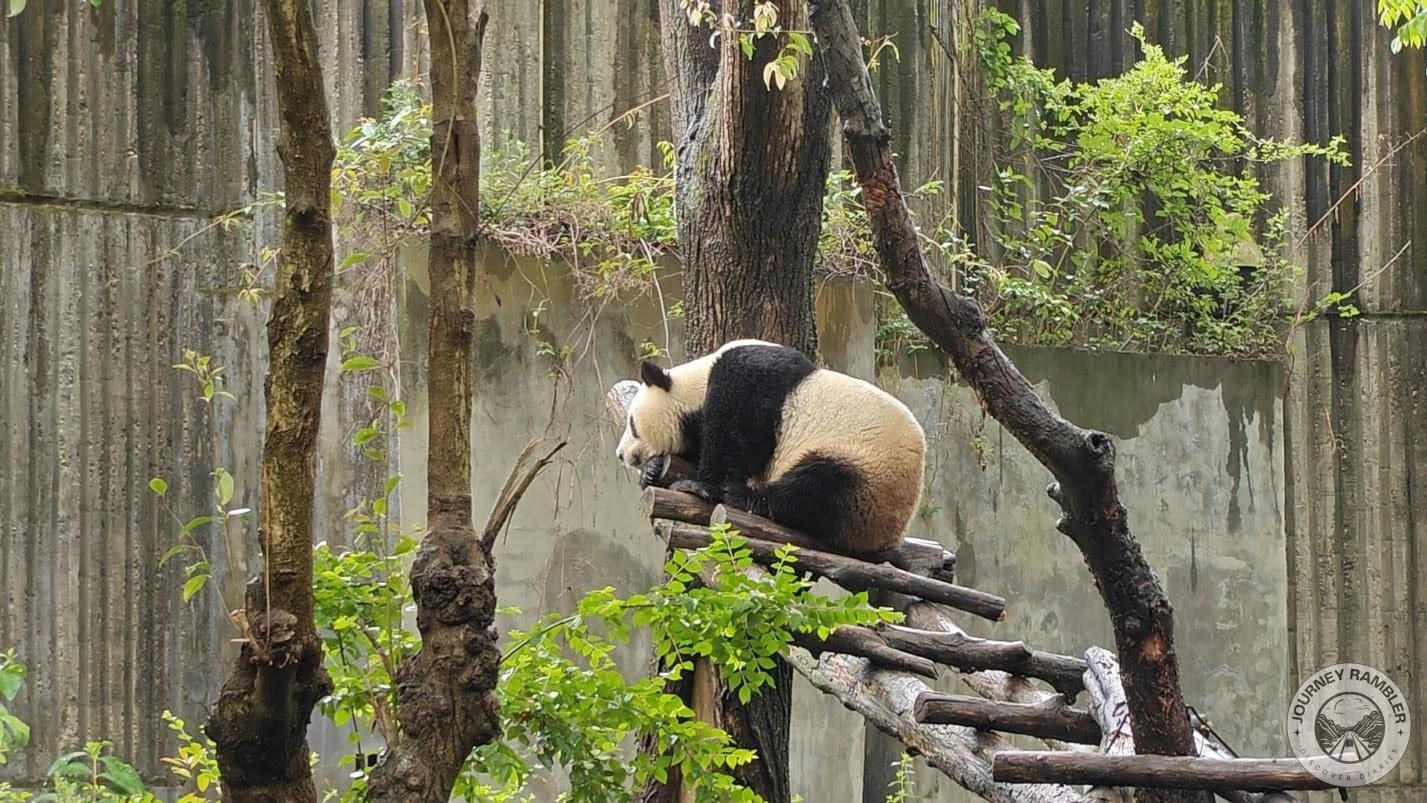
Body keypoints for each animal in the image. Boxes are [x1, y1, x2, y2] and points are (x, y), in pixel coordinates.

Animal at [615, 339, 926, 554]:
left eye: (632, 424)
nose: (620, 454)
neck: (697, 382)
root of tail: (890, 536)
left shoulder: (746, 383)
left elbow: (735, 440)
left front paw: (698, 486)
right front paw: (653, 469)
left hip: (865, 467)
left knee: (816, 489)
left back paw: (741, 496)